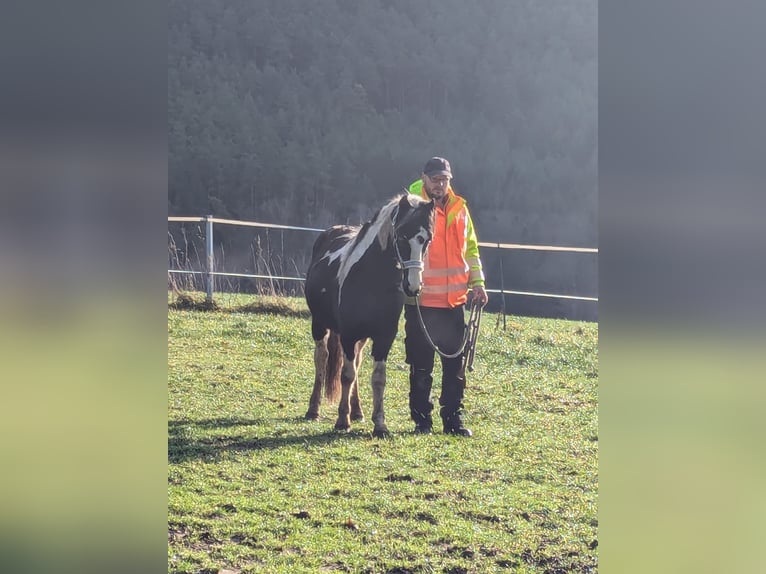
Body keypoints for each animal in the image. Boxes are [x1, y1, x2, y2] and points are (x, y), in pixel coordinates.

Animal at [306, 192, 438, 436]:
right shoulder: (349, 334)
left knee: (356, 363)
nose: (413, 286)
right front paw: (342, 420)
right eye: (402, 235)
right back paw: (314, 410)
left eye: (428, 239)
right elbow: (346, 375)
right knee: (322, 359)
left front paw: (380, 424)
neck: (371, 277)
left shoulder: (383, 337)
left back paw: (358, 411)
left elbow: (377, 378)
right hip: (319, 324)